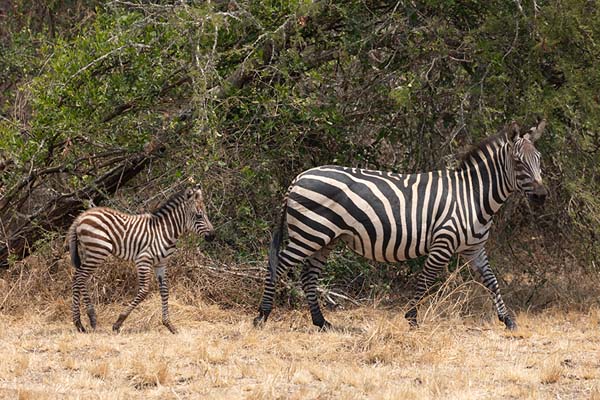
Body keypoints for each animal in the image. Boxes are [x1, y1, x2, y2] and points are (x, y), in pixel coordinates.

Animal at [68, 184, 213, 334]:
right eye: (199, 216)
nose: (213, 236)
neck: (165, 231)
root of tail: (81, 216)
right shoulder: (143, 260)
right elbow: (144, 291)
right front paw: (118, 322)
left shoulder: (161, 264)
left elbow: (165, 291)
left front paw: (169, 325)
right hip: (98, 251)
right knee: (79, 277)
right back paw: (85, 320)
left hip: (90, 252)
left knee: (79, 278)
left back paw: (85, 321)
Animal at [253, 119, 548, 332]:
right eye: (519, 162)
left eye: (539, 159)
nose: (542, 196)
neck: (472, 197)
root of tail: (298, 177)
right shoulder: (443, 242)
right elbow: (425, 281)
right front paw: (412, 319)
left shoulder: (474, 249)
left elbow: (492, 282)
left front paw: (508, 320)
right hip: (309, 233)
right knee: (279, 264)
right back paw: (262, 316)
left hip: (324, 238)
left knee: (308, 275)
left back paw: (321, 322)